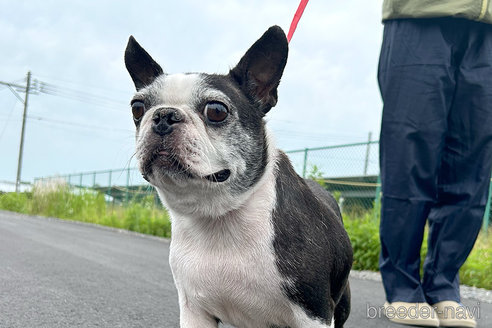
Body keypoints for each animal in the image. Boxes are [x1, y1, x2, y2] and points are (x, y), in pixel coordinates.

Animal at [125, 25, 352, 328]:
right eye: (137, 108)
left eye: (216, 111)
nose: (163, 116)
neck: (217, 216)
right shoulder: (194, 311)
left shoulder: (313, 313)